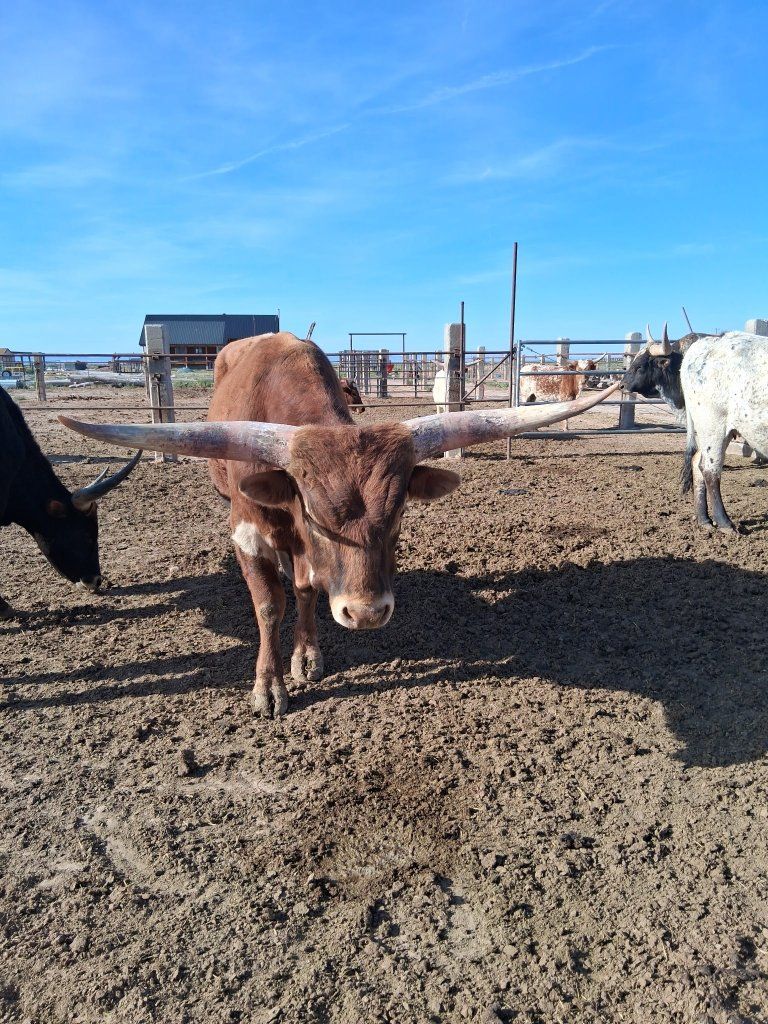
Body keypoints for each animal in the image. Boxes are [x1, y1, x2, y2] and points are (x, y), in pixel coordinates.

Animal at [61, 332, 619, 716]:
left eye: (399, 512)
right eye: (312, 511)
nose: (366, 613)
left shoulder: (308, 555)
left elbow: (306, 590)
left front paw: (307, 655)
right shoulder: (248, 530)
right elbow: (268, 606)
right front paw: (268, 686)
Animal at [622, 323, 768, 532]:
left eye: (640, 366)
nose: (622, 384)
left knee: (699, 464)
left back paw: (705, 519)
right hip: (713, 426)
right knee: (709, 469)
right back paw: (724, 523)